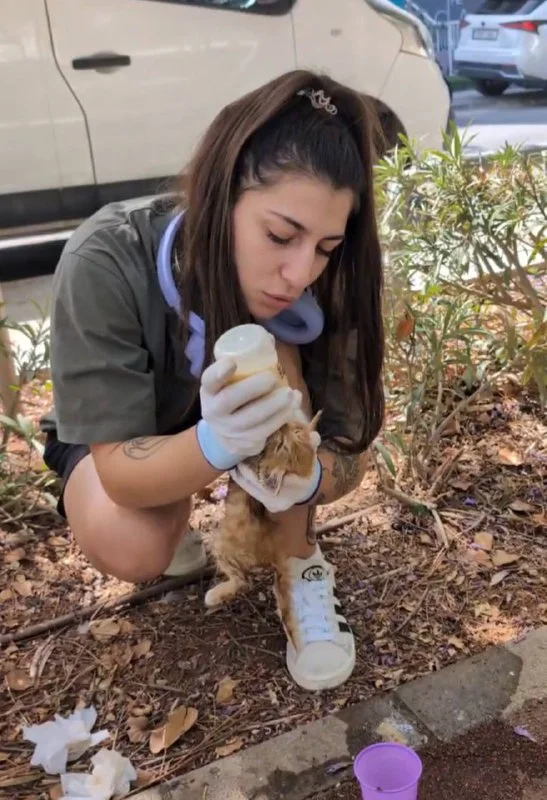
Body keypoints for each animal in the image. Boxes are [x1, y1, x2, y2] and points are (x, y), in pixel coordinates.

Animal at [203, 412, 321, 641]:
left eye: (282, 445)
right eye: (296, 431)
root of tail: (275, 551)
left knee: (243, 581)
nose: (282, 426)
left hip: (221, 544)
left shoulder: (246, 466)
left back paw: (215, 594)